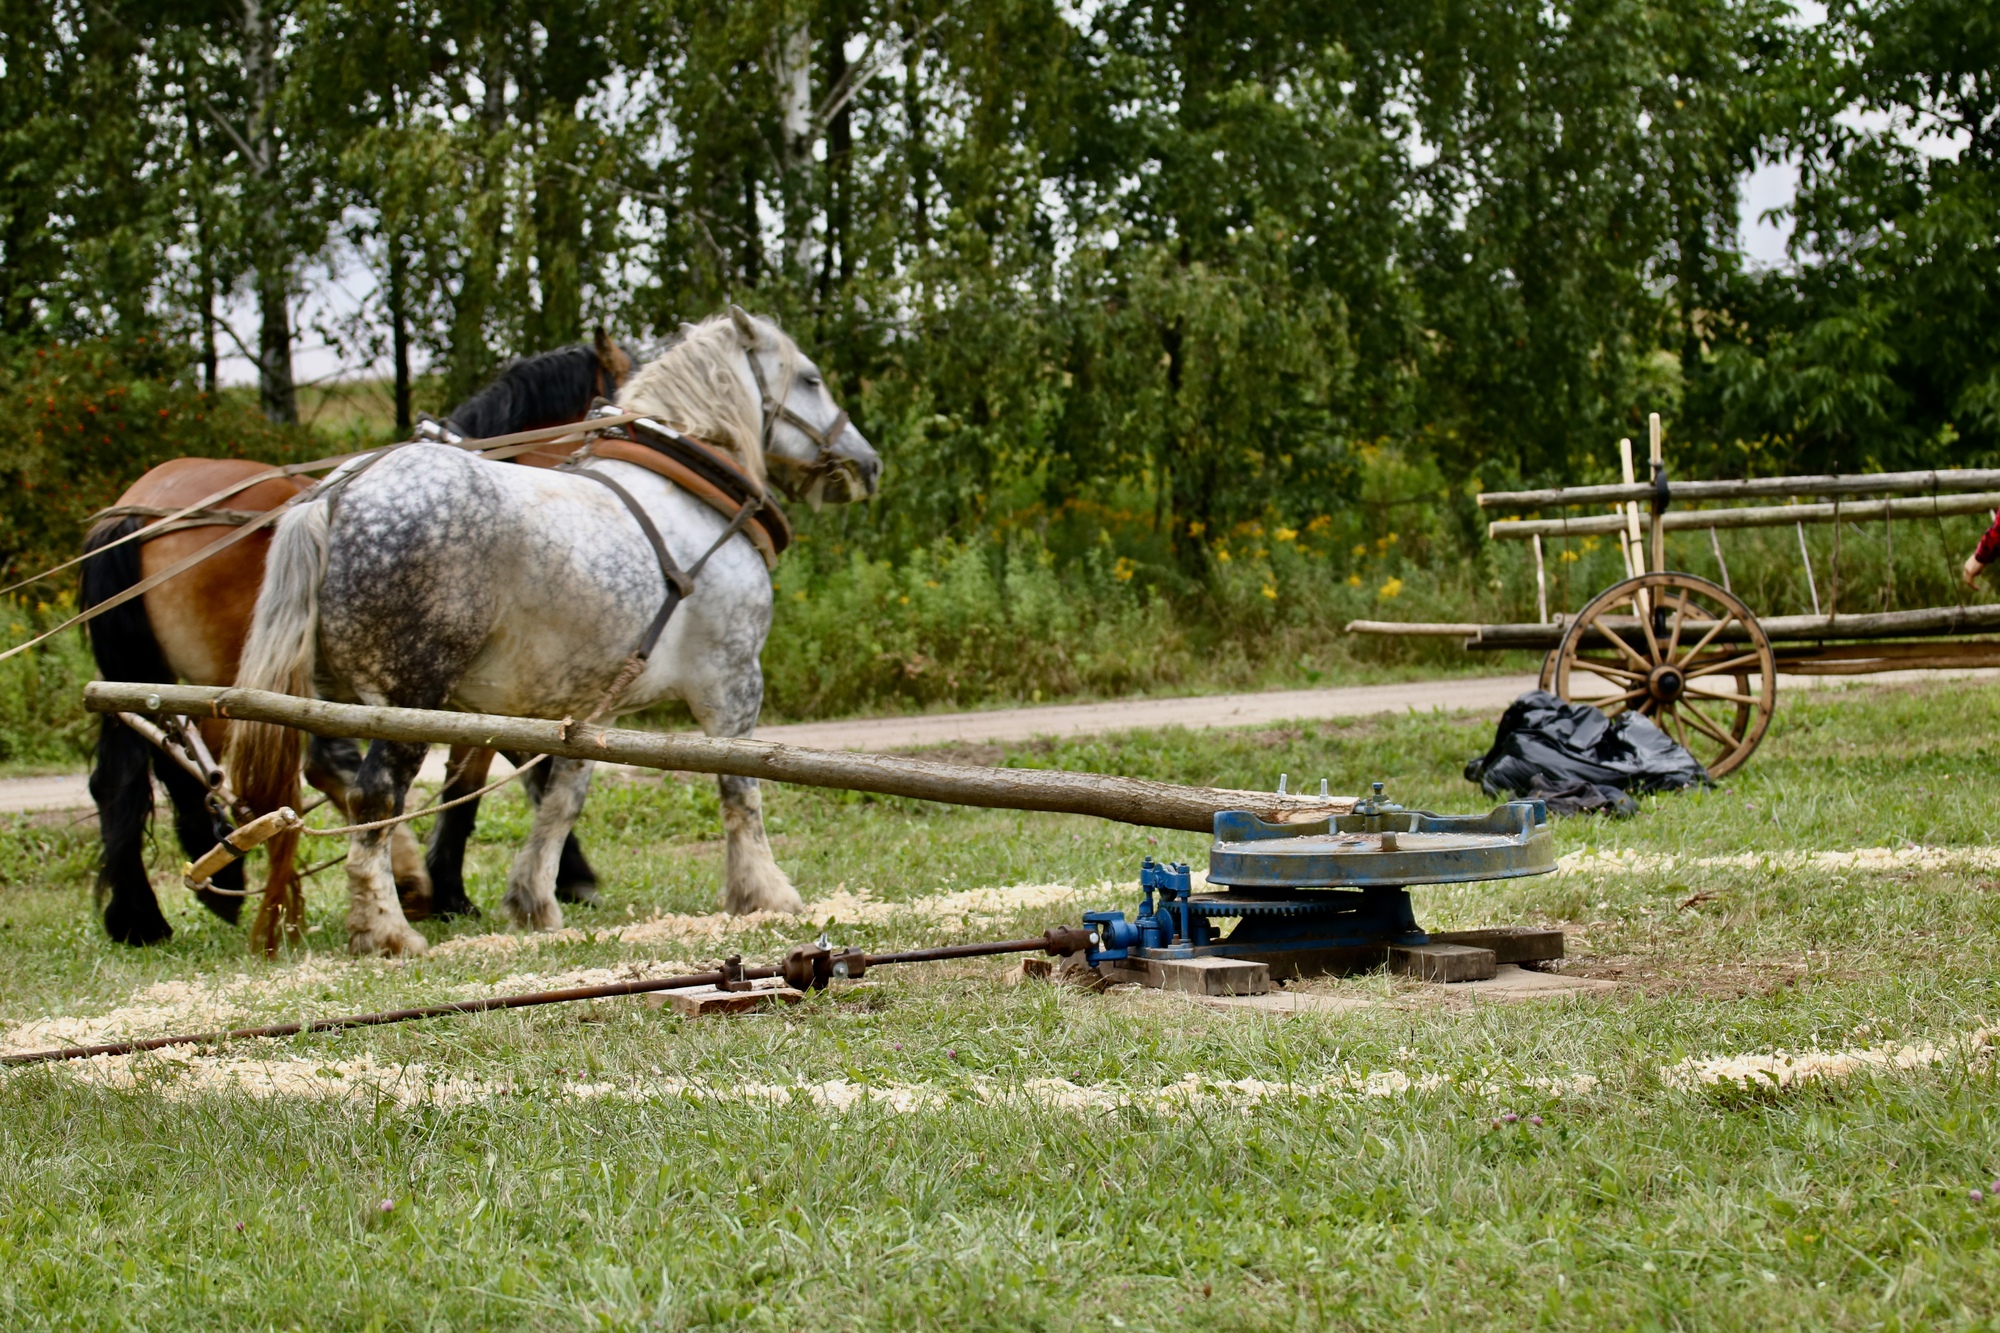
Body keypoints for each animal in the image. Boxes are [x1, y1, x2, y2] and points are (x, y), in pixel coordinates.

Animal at [82, 338, 628, 948]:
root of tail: (139, 513)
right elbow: (490, 775)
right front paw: (475, 886)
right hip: (234, 681)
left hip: (148, 675)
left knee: (126, 777)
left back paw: (147, 913)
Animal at [225, 308, 876, 956]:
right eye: (811, 379)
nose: (867, 464)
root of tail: (335, 494)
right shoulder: (733, 680)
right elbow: (741, 786)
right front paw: (763, 893)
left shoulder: (586, 709)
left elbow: (561, 798)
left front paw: (534, 898)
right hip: (409, 699)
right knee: (377, 795)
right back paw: (385, 926)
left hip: (321, 702)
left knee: (330, 773)